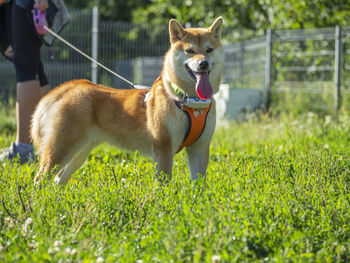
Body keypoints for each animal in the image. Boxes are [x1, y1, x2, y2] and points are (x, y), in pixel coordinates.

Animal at [32, 16, 224, 186]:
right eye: (190, 51)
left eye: (209, 50)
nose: (203, 64)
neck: (188, 100)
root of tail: (69, 86)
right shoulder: (163, 148)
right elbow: (164, 184)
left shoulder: (199, 148)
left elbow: (199, 185)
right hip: (62, 149)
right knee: (40, 179)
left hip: (80, 152)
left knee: (58, 180)